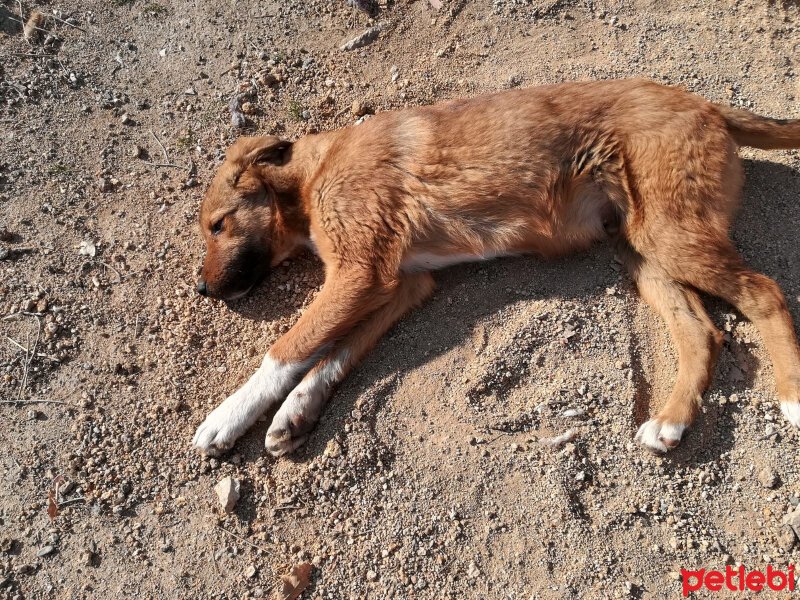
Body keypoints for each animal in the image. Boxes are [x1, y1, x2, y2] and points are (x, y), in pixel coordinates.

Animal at [192, 78, 800, 454]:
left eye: (218, 225)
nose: (201, 290)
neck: (315, 172)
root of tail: (707, 104)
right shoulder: (400, 284)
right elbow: (335, 353)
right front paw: (296, 411)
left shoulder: (360, 274)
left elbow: (287, 350)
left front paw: (226, 417)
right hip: (641, 247)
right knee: (700, 330)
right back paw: (671, 422)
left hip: (668, 234)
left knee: (765, 293)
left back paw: (792, 398)